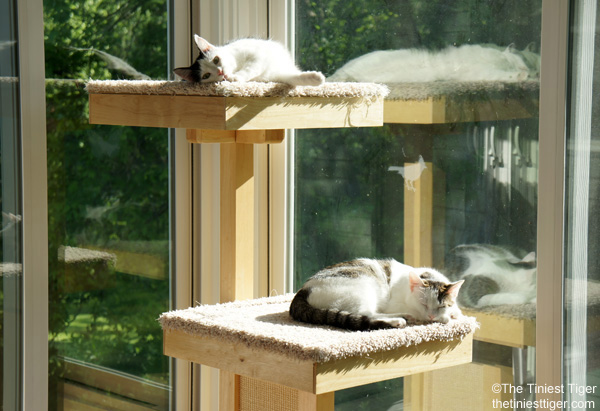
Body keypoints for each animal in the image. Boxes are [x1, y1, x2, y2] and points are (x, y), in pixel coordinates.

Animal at [173, 34, 324, 87]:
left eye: (216, 60)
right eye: (206, 76)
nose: (220, 72)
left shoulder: (258, 55)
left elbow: (251, 67)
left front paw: (315, 78)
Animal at [290, 260, 464, 332]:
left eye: (442, 305)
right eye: (423, 303)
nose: (431, 316)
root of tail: (304, 289)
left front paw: (454, 313)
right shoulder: (396, 304)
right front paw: (445, 318)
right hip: (364, 286)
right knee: (367, 314)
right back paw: (399, 319)